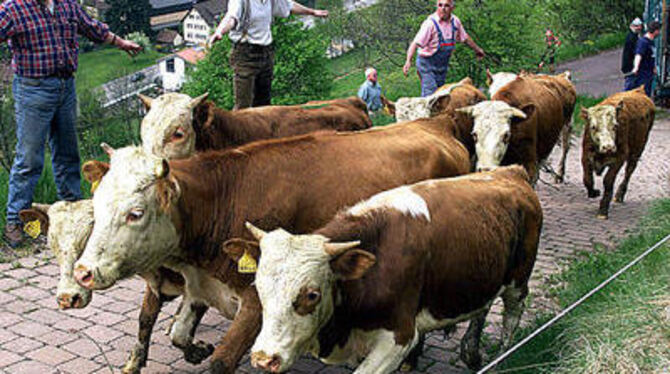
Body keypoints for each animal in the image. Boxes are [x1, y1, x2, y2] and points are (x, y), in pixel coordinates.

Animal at [72, 112, 472, 372]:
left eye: (135, 213)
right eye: (97, 204)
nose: (83, 272)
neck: (226, 195)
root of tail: (434, 123)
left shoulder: (254, 301)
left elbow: (219, 363)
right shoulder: (204, 285)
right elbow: (177, 334)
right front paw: (195, 349)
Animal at [244, 165, 544, 372]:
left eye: (312, 295)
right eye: (258, 288)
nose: (263, 358)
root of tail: (510, 171)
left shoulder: (398, 337)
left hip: (518, 282)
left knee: (511, 318)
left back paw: (501, 359)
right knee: (482, 308)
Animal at [584, 84, 656, 219]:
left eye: (615, 126)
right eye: (593, 127)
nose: (608, 147)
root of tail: (639, 90)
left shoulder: (619, 159)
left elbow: (608, 181)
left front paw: (603, 211)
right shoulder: (586, 157)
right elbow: (587, 180)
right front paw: (594, 192)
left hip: (637, 151)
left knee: (629, 171)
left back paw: (619, 195)